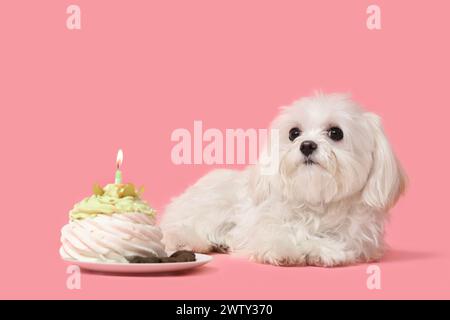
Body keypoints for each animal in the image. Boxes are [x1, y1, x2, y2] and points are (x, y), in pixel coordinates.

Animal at [162, 93, 408, 268]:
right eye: (294, 133)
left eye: (336, 132)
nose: (307, 145)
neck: (316, 203)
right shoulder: (261, 226)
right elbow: (277, 234)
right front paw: (287, 249)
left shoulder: (360, 238)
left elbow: (339, 241)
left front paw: (322, 250)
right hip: (213, 204)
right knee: (179, 227)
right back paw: (188, 239)